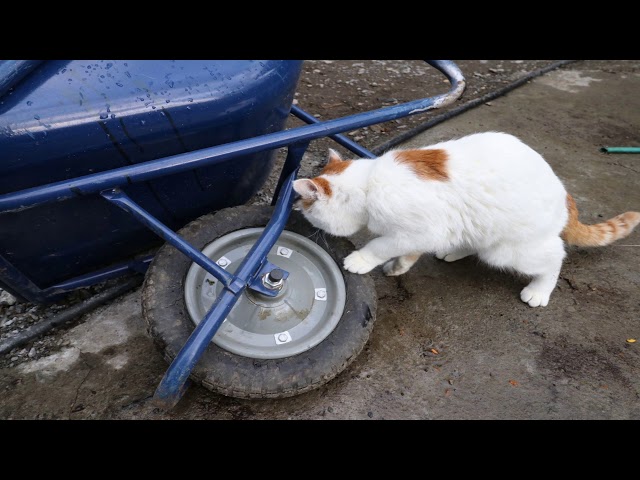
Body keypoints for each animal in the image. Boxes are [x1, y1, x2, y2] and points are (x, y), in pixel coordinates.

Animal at [294, 131, 640, 308]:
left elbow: (381, 245)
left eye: (309, 210)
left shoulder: (418, 229)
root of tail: (564, 193)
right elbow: (406, 252)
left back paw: (541, 290)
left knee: (555, 256)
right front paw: (399, 266)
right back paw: (455, 251)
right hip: (477, 228)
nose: (298, 212)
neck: (369, 184)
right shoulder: (423, 234)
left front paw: (362, 260)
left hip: (508, 250)